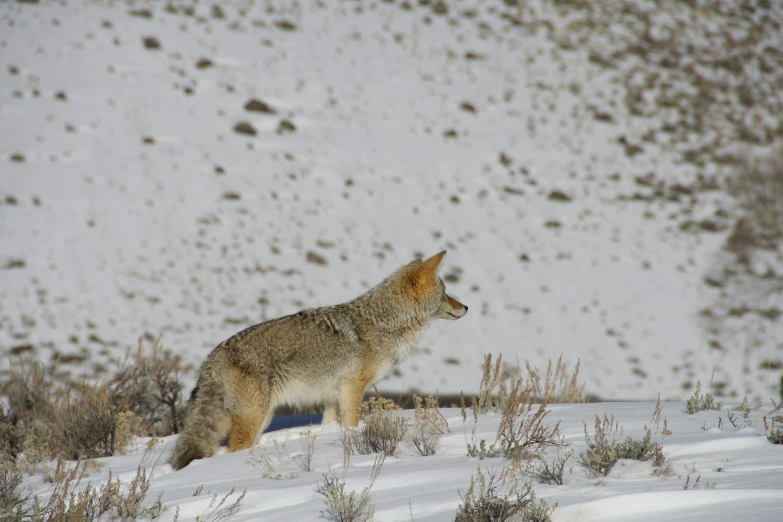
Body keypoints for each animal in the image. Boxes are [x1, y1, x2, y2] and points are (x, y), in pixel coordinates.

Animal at [170, 250, 466, 470]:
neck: (384, 323)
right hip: (255, 418)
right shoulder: (352, 388)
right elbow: (353, 424)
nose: (466, 307)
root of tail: (214, 355)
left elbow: (330, 425)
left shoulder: (333, 396)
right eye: (446, 291)